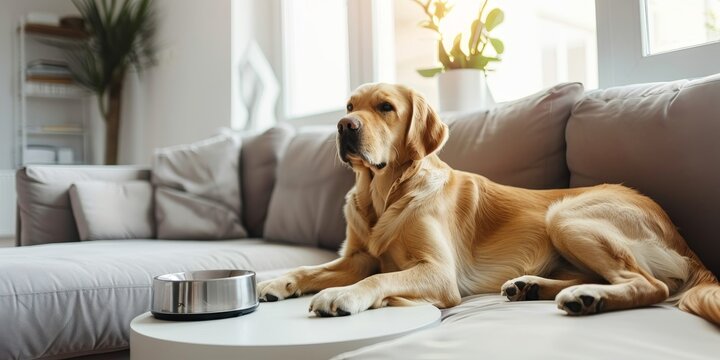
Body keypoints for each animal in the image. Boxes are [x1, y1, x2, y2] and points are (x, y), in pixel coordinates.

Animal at [258, 83, 720, 324]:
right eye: (350, 106)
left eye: (385, 107)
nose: (343, 126)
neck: (385, 193)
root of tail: (684, 241)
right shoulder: (356, 257)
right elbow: (310, 269)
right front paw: (274, 284)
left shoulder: (438, 272)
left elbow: (378, 279)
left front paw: (344, 295)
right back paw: (535, 288)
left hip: (565, 215)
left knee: (652, 285)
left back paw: (586, 298)